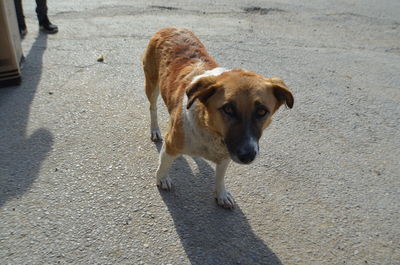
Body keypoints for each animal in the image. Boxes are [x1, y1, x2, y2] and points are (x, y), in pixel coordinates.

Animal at [142, 27, 292, 208]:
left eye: (262, 111)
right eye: (228, 109)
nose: (247, 155)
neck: (210, 130)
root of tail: (171, 27)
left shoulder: (226, 154)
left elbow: (220, 176)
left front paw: (221, 194)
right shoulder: (171, 144)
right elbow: (164, 164)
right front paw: (162, 178)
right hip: (151, 85)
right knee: (153, 108)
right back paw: (155, 129)